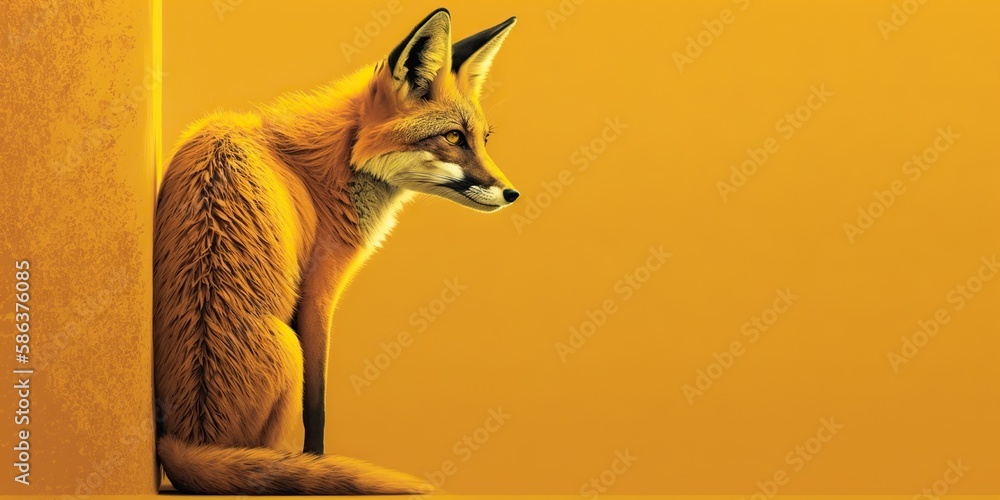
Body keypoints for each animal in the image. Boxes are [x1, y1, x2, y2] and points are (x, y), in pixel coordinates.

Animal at [153, 8, 518, 495]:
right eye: (453, 138)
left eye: (482, 139)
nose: (512, 193)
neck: (334, 166)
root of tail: (184, 440)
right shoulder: (319, 293)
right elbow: (318, 409)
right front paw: (317, 463)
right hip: (290, 350)